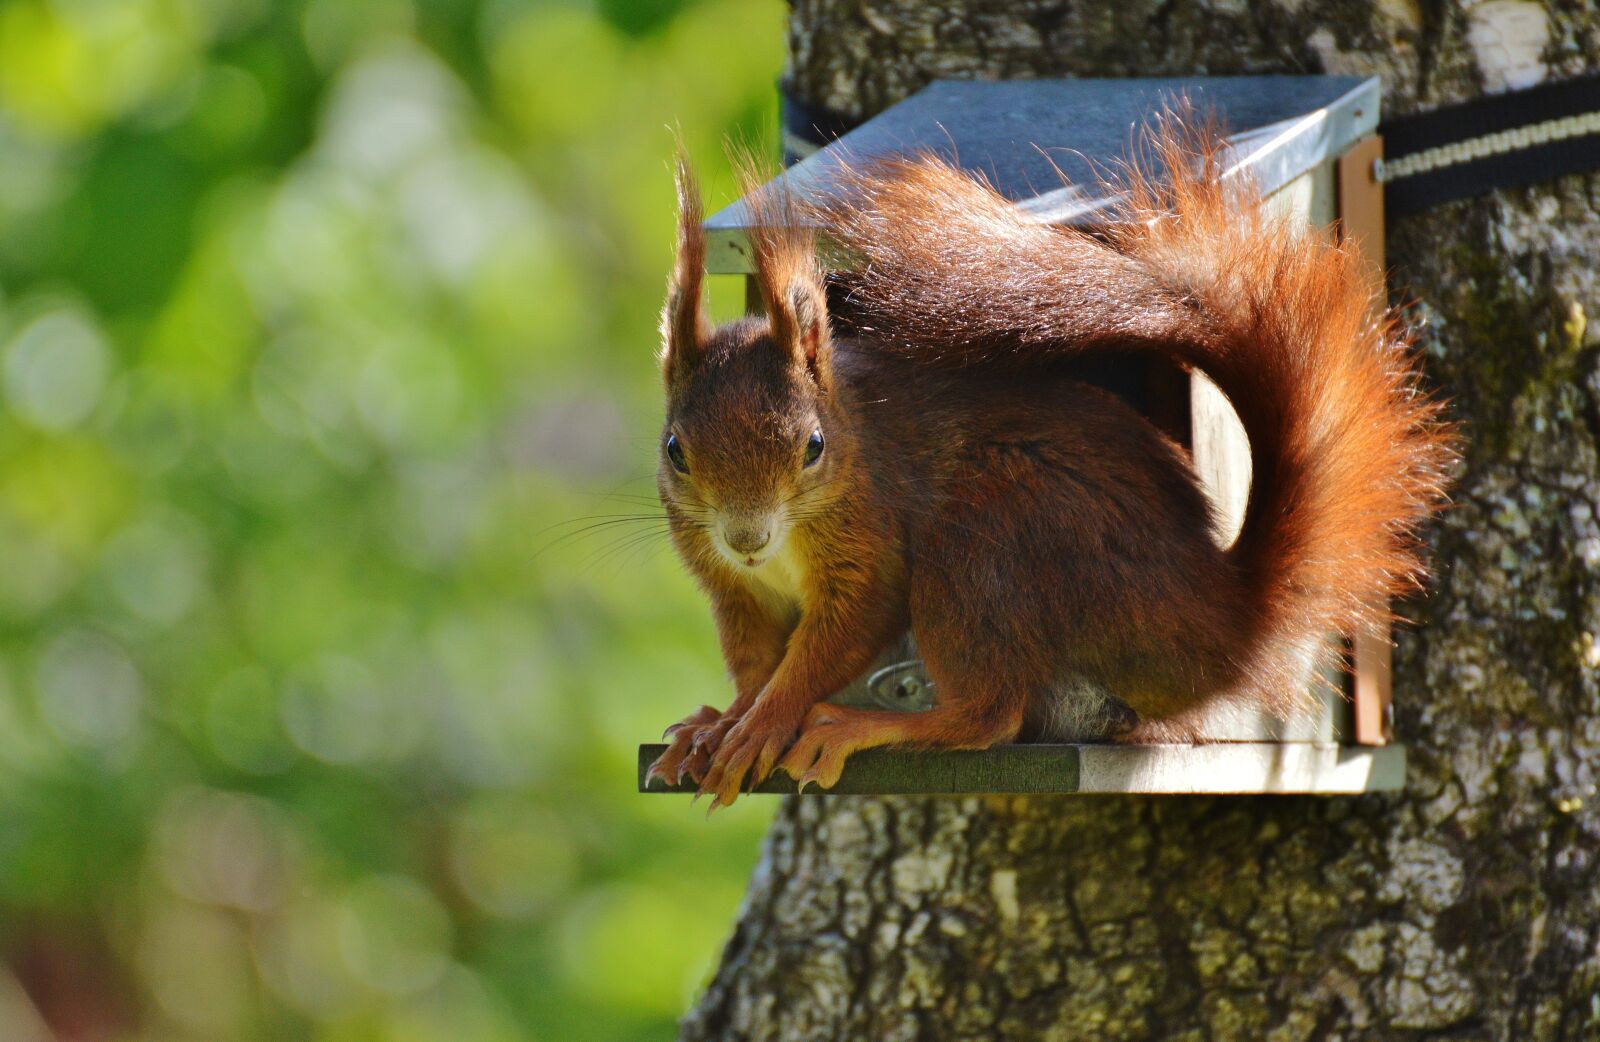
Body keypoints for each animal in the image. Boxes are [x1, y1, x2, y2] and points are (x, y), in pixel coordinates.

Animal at [644, 125, 1457, 808]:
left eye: (812, 446)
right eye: (674, 449)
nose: (746, 537)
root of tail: (1224, 624)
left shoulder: (871, 540)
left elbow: (842, 634)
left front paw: (767, 720)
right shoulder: (735, 591)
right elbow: (756, 661)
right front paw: (722, 722)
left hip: (993, 534)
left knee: (991, 713)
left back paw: (861, 725)